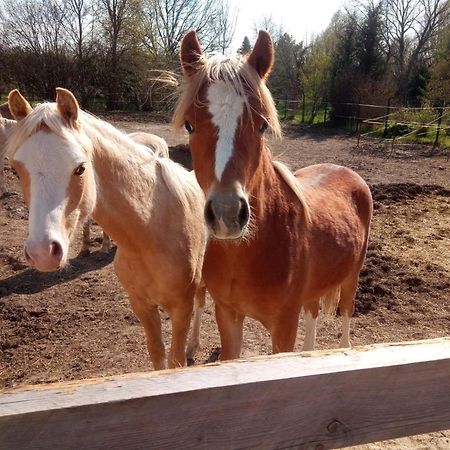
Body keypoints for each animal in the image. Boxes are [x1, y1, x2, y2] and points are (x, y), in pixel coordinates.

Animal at [6, 88, 207, 370]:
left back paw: (193, 346)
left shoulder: (181, 308)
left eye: (80, 168)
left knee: (201, 302)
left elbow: (175, 360)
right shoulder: (141, 305)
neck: (151, 234)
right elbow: (157, 354)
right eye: (15, 170)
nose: (42, 253)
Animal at [176, 29, 372, 356]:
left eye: (262, 125)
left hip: (352, 276)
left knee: (345, 313)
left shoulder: (284, 325)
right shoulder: (228, 314)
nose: (227, 214)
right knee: (314, 312)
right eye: (189, 124)